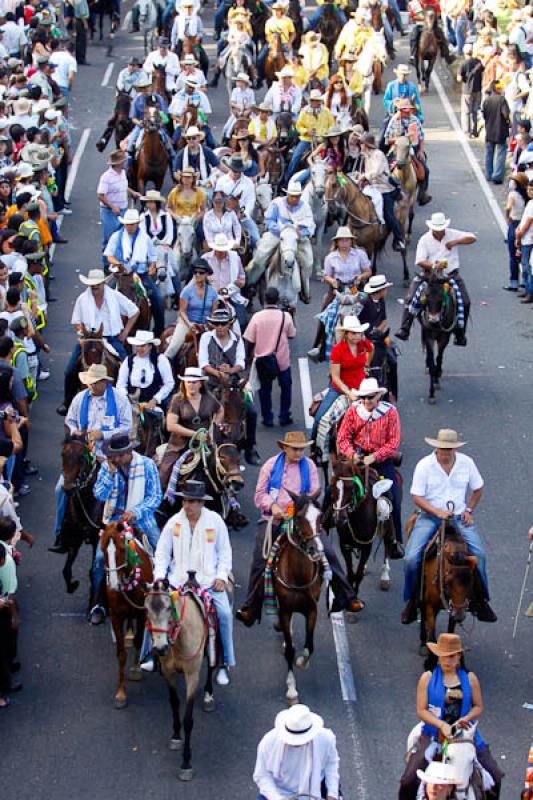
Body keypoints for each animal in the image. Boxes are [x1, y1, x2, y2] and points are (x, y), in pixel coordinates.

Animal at [58, 438, 103, 600]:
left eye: (82, 458)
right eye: (63, 455)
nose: (68, 489)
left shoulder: (97, 541)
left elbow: (93, 573)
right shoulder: (75, 540)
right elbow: (66, 570)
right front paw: (73, 585)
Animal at [98, 520, 153, 708]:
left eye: (122, 549)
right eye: (103, 549)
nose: (114, 584)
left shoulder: (143, 613)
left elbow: (139, 640)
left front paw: (136, 669)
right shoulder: (116, 615)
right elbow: (121, 654)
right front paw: (121, 693)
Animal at [145, 580, 216, 780]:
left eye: (168, 608)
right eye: (146, 609)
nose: (159, 648)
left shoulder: (192, 675)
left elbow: (188, 720)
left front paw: (186, 762)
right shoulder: (168, 672)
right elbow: (174, 703)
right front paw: (176, 736)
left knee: (211, 665)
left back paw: (209, 694)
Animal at [406, 520, 476, 656]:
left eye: (471, 580)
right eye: (448, 581)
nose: (459, 616)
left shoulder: (452, 607)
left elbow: (450, 633)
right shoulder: (429, 604)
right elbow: (432, 634)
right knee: (422, 611)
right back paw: (423, 641)